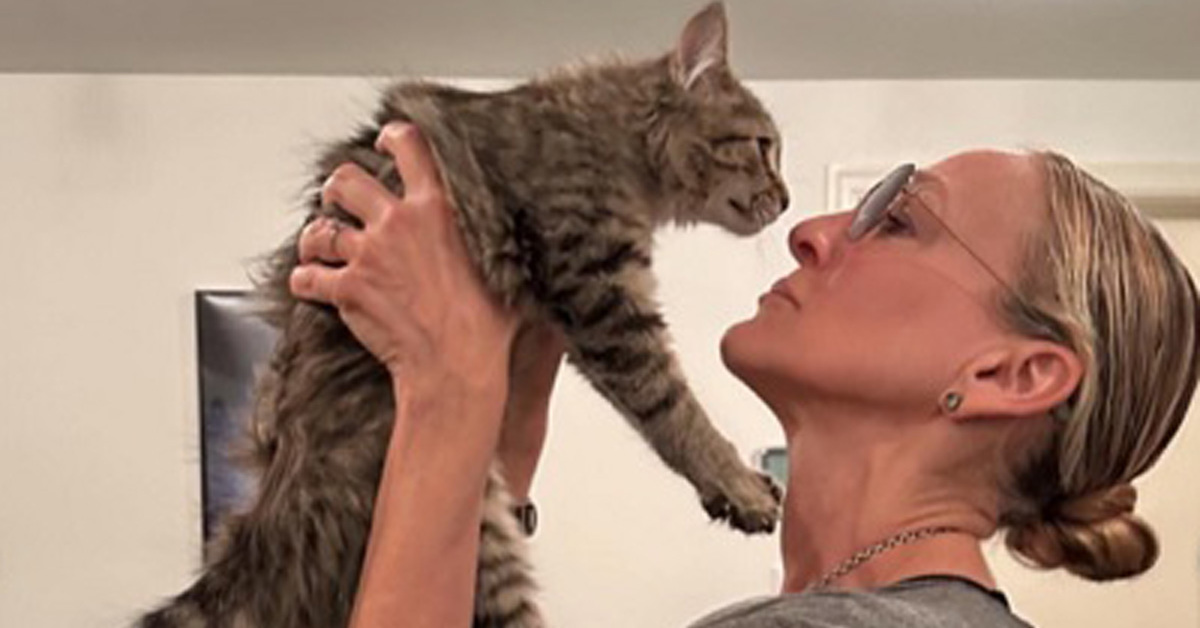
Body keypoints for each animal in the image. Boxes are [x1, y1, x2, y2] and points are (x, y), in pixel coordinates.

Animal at [137, 3, 787, 627]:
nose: (785, 202)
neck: (610, 134)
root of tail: (276, 500)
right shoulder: (597, 289)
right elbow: (674, 408)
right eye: (763, 147)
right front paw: (738, 485)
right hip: (482, 545)